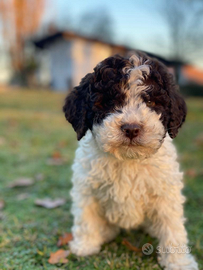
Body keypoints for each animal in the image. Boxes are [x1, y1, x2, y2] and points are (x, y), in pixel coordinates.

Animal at [62, 51, 197, 268]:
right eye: (110, 103)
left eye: (151, 103)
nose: (132, 128)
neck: (129, 159)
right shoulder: (87, 188)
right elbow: (86, 218)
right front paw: (85, 246)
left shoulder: (165, 193)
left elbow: (172, 228)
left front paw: (179, 262)